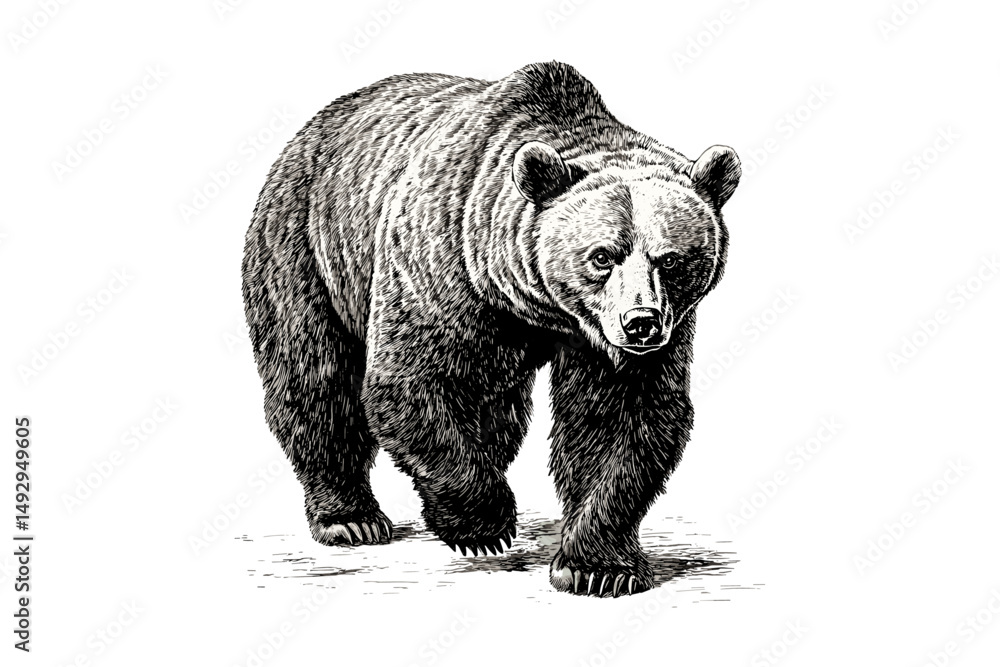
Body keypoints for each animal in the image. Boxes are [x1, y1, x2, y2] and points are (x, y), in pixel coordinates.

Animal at [242, 61, 740, 597]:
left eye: (671, 260)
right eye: (603, 256)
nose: (641, 323)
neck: (538, 307)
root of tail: (316, 125)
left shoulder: (613, 338)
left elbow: (620, 418)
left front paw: (598, 567)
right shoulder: (442, 263)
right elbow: (413, 381)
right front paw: (481, 526)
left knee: (497, 410)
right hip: (304, 245)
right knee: (317, 380)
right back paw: (349, 518)